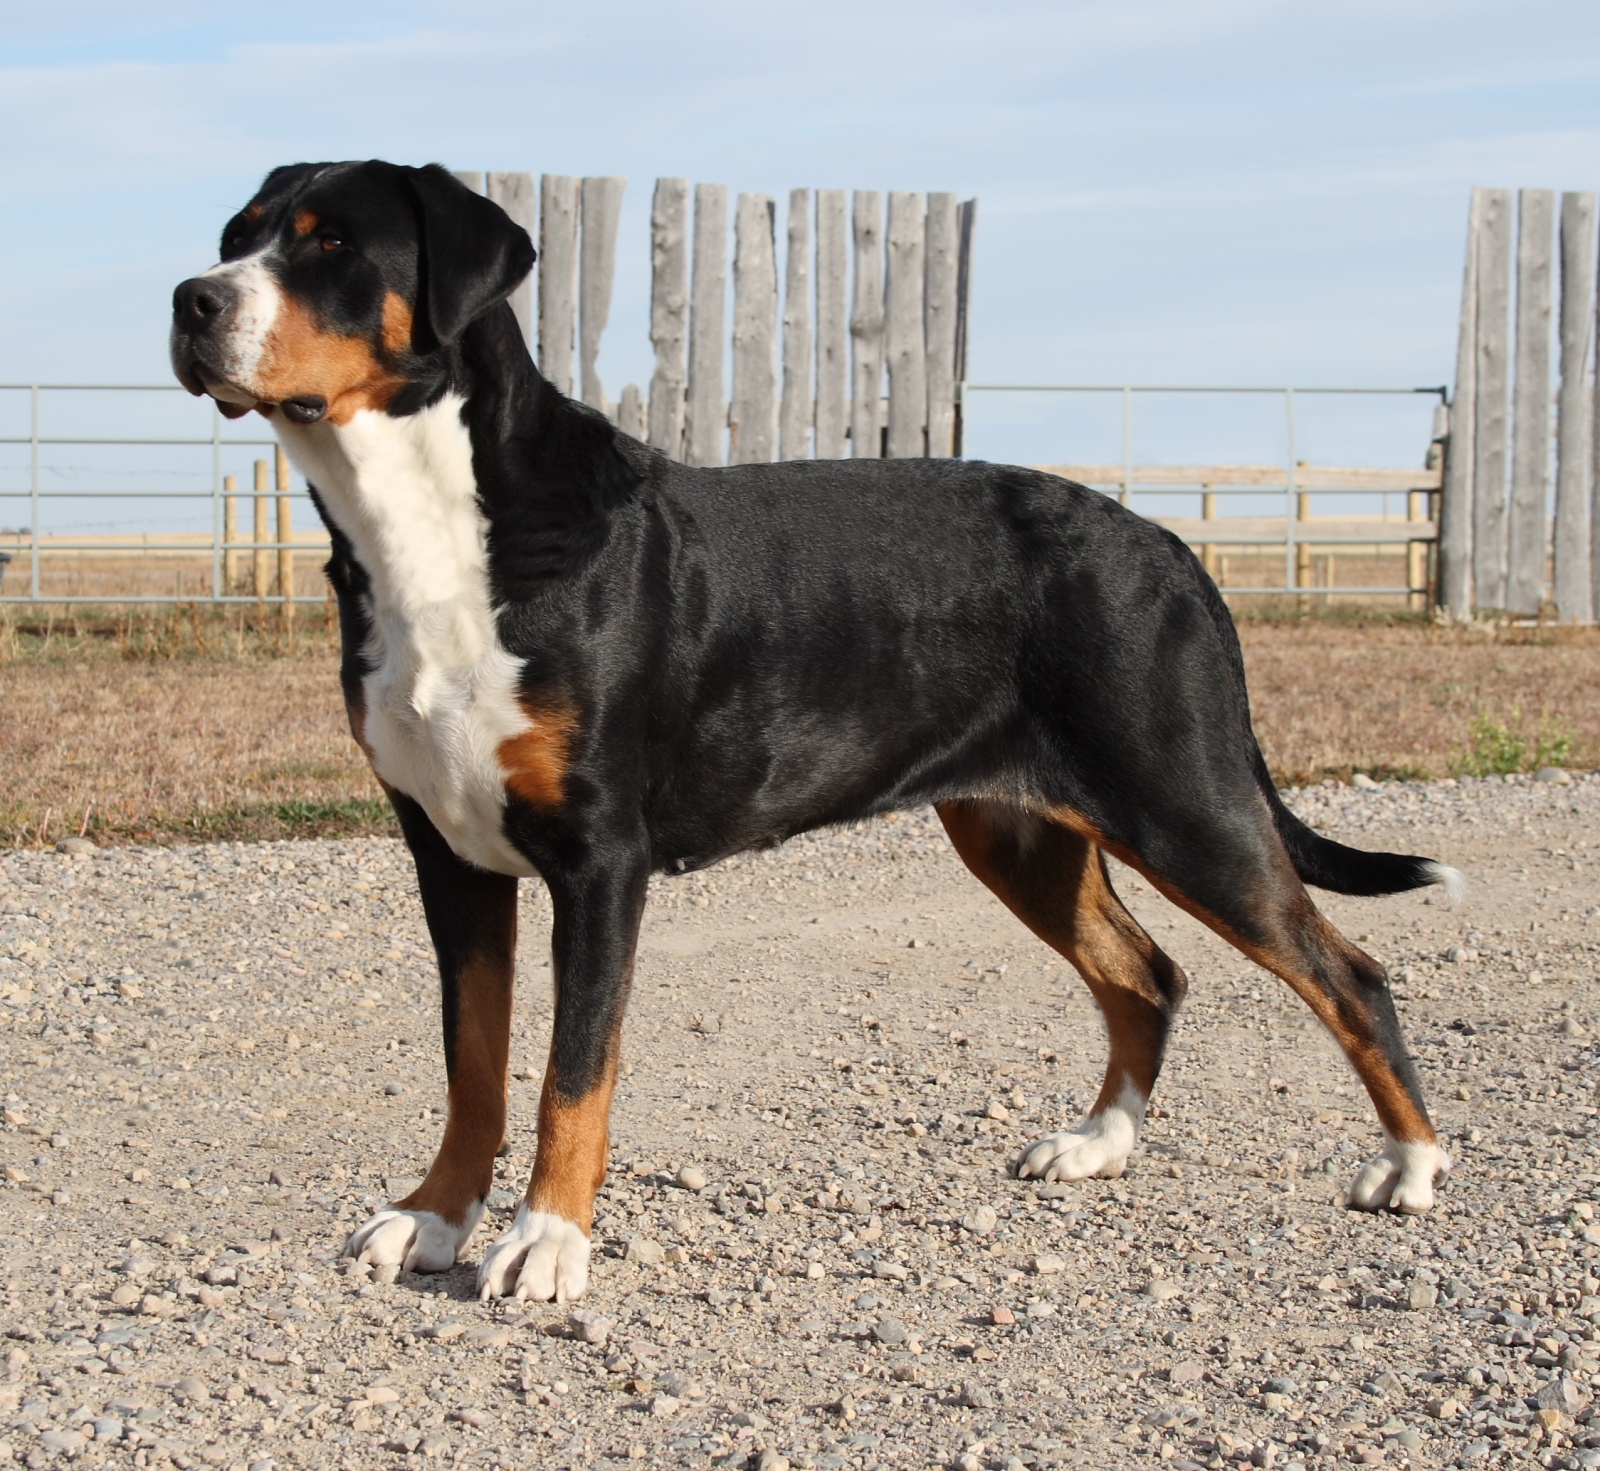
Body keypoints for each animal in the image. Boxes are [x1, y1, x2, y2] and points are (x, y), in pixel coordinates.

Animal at [172, 160, 1465, 1306]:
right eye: (237, 234)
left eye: (333, 243)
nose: (192, 298)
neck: (439, 530)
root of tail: (1170, 547)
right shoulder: (449, 854)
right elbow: (474, 1063)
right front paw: (436, 1217)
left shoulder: (599, 862)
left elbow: (569, 1075)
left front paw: (545, 1244)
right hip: (1021, 834)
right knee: (1145, 973)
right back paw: (1098, 1143)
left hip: (1182, 801)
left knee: (1347, 973)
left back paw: (1409, 1166)